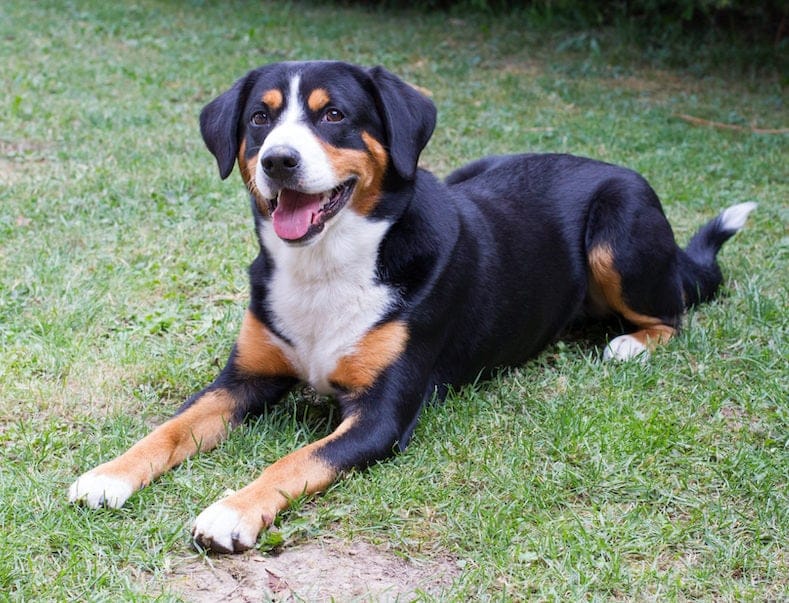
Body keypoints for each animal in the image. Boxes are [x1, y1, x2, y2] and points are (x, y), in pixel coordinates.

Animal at [71, 60, 756, 552]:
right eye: (260, 120)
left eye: (334, 115)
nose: (278, 161)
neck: (328, 266)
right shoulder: (244, 377)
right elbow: (169, 428)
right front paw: (109, 474)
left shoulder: (381, 414)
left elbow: (293, 462)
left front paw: (231, 511)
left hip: (619, 231)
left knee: (675, 311)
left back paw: (630, 344)